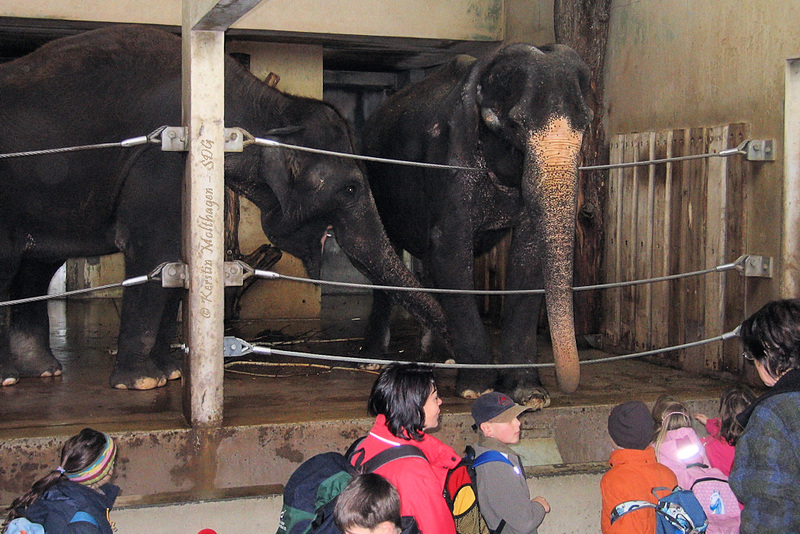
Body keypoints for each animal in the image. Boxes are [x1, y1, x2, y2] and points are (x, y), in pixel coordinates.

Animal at [0, 25, 450, 392]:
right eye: (352, 189)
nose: (439, 359)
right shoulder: (162, 160)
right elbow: (154, 250)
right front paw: (143, 382)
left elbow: (176, 257)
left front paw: (171, 373)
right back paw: (12, 378)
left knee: (35, 266)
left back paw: (43, 371)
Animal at [362, 44, 592, 408]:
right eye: (515, 124)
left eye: (586, 124)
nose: (563, 384)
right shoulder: (450, 161)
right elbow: (450, 252)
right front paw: (477, 389)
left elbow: (528, 258)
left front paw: (530, 395)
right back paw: (373, 360)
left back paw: (440, 357)